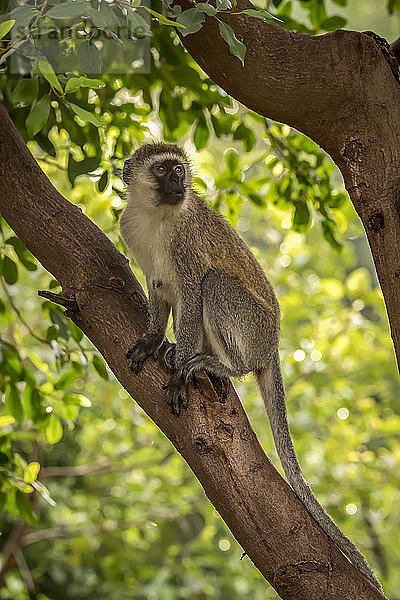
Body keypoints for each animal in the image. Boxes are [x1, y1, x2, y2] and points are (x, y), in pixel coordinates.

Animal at [120, 142, 382, 596]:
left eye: (179, 170)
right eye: (163, 170)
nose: (179, 184)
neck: (156, 216)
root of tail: (273, 343)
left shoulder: (185, 242)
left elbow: (192, 291)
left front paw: (178, 374)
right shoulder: (130, 229)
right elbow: (158, 287)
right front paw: (153, 340)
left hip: (252, 328)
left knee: (214, 283)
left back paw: (218, 365)